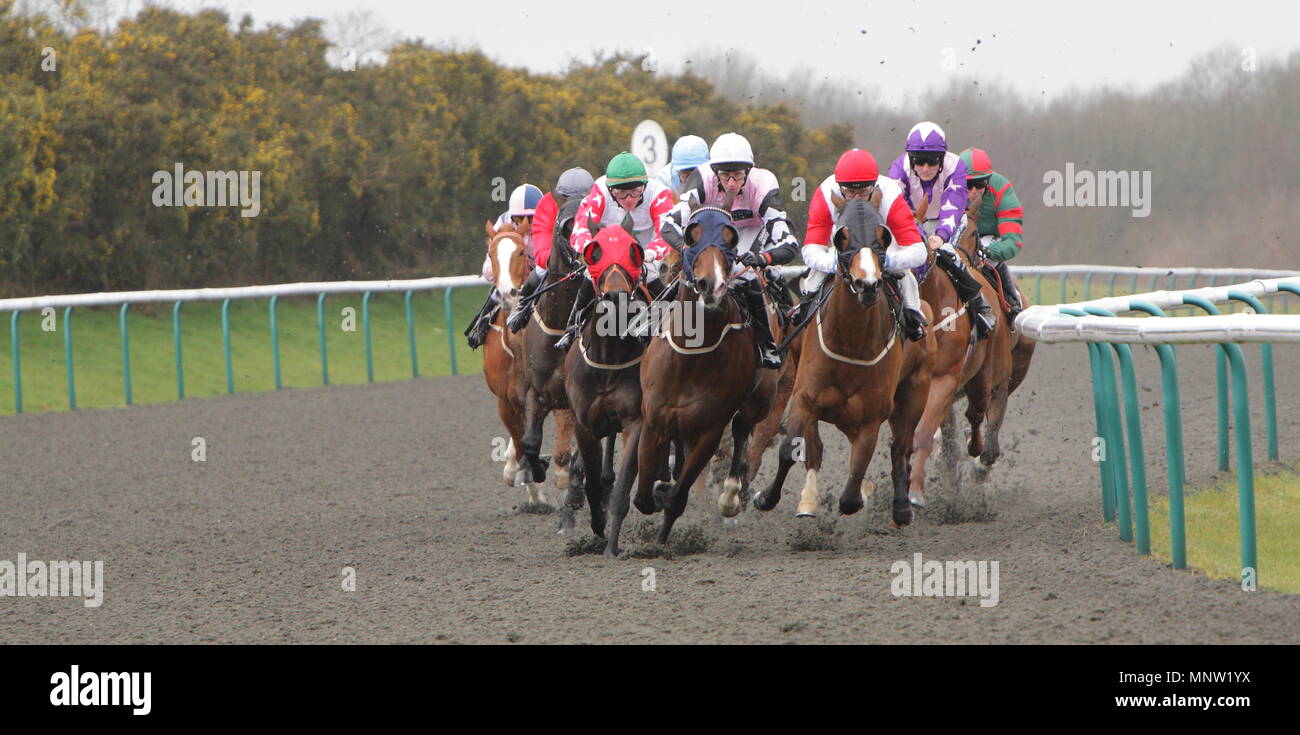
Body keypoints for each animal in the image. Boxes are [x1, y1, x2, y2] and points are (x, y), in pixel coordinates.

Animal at [605, 202, 774, 554]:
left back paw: (731, 494)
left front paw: (664, 525)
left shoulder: (709, 431)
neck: (691, 357)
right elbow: (643, 496)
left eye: (730, 237)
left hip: (760, 400)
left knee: (742, 429)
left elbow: (678, 497)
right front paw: (658, 489)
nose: (712, 284)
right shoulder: (654, 420)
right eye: (691, 234)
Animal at [754, 197, 935, 525]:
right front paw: (765, 497)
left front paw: (864, 494)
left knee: (901, 447)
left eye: (883, 237)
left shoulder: (872, 416)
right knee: (816, 447)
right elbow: (790, 450)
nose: (867, 285)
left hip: (915, 392)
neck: (851, 342)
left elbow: (853, 488)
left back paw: (902, 507)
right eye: (842, 237)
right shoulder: (805, 397)